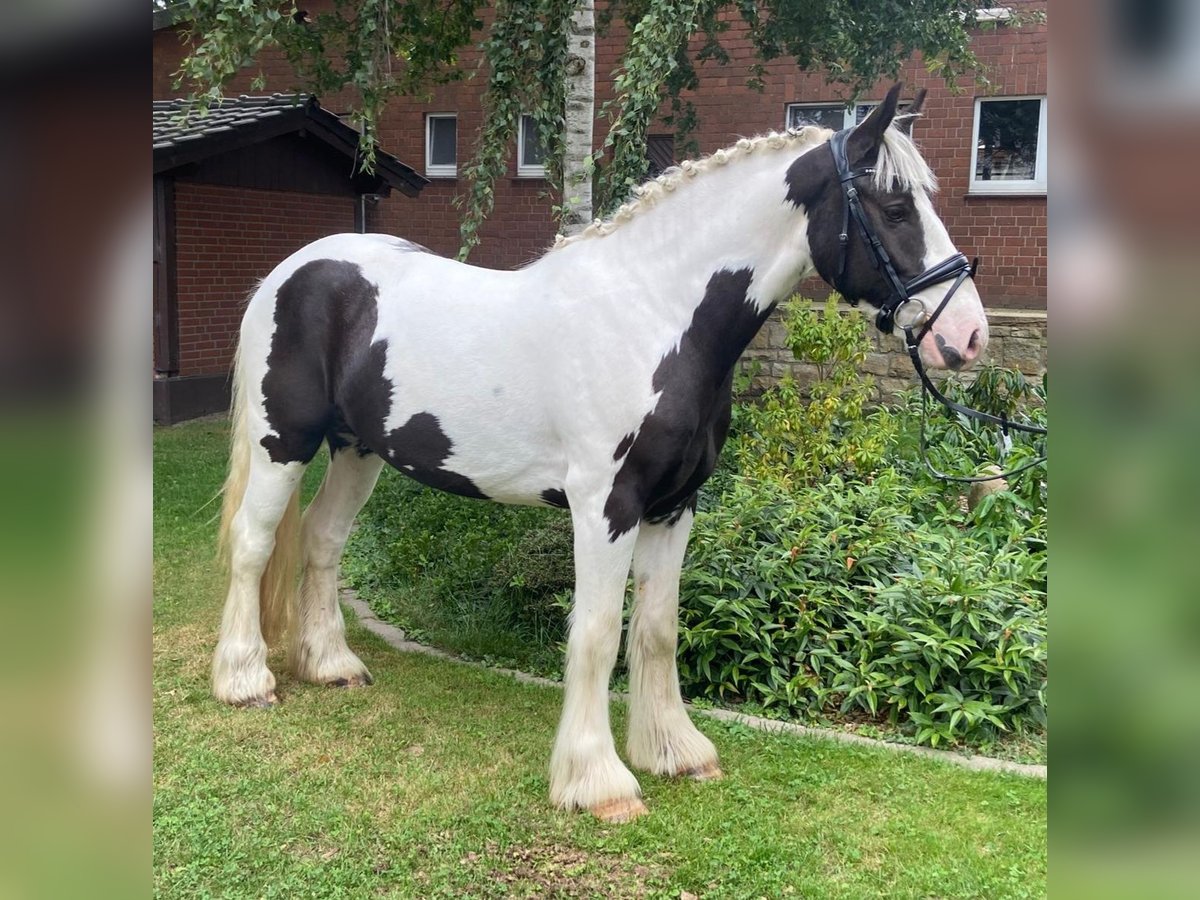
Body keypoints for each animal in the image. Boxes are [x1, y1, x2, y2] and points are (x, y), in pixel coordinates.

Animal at [213, 86, 984, 825]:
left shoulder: (674, 508)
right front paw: (597, 782)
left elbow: (657, 630)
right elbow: (595, 635)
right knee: (253, 544)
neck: (653, 317)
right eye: (895, 206)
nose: (969, 335)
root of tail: (289, 272)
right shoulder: (605, 509)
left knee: (322, 539)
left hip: (358, 450)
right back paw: (244, 678)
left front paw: (675, 751)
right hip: (283, 443)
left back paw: (331, 664)